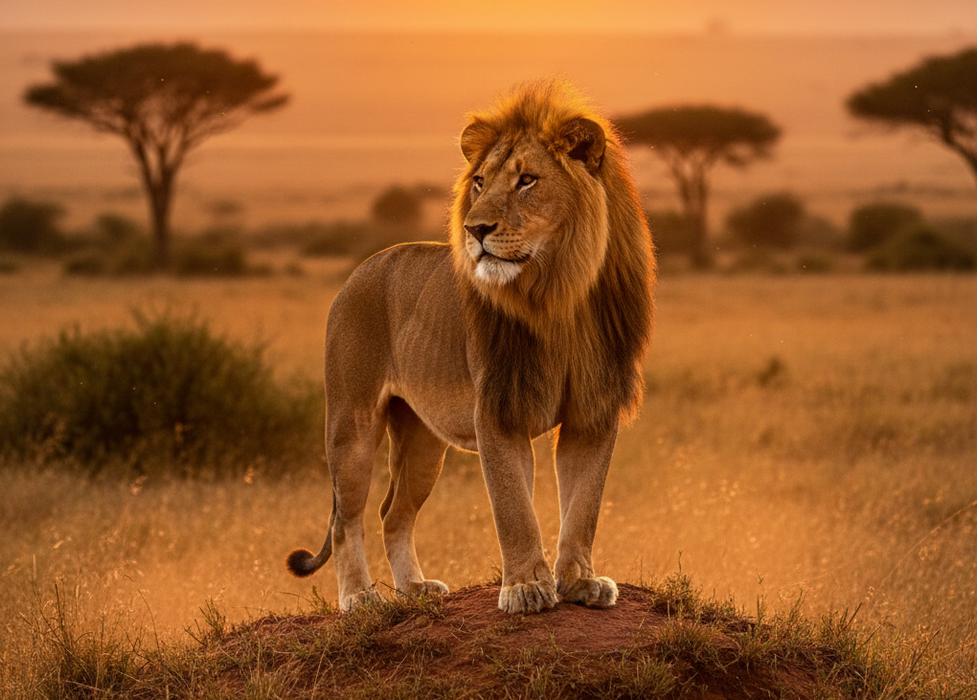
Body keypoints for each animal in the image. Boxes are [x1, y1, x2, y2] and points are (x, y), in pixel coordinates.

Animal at [287, 80, 655, 614]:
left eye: (527, 180)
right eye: (479, 182)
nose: (474, 230)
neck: (558, 293)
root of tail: (360, 269)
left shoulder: (593, 409)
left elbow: (583, 505)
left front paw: (580, 582)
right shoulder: (498, 409)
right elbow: (513, 508)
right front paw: (526, 587)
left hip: (422, 439)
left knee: (393, 512)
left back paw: (415, 588)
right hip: (351, 425)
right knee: (346, 518)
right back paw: (359, 597)